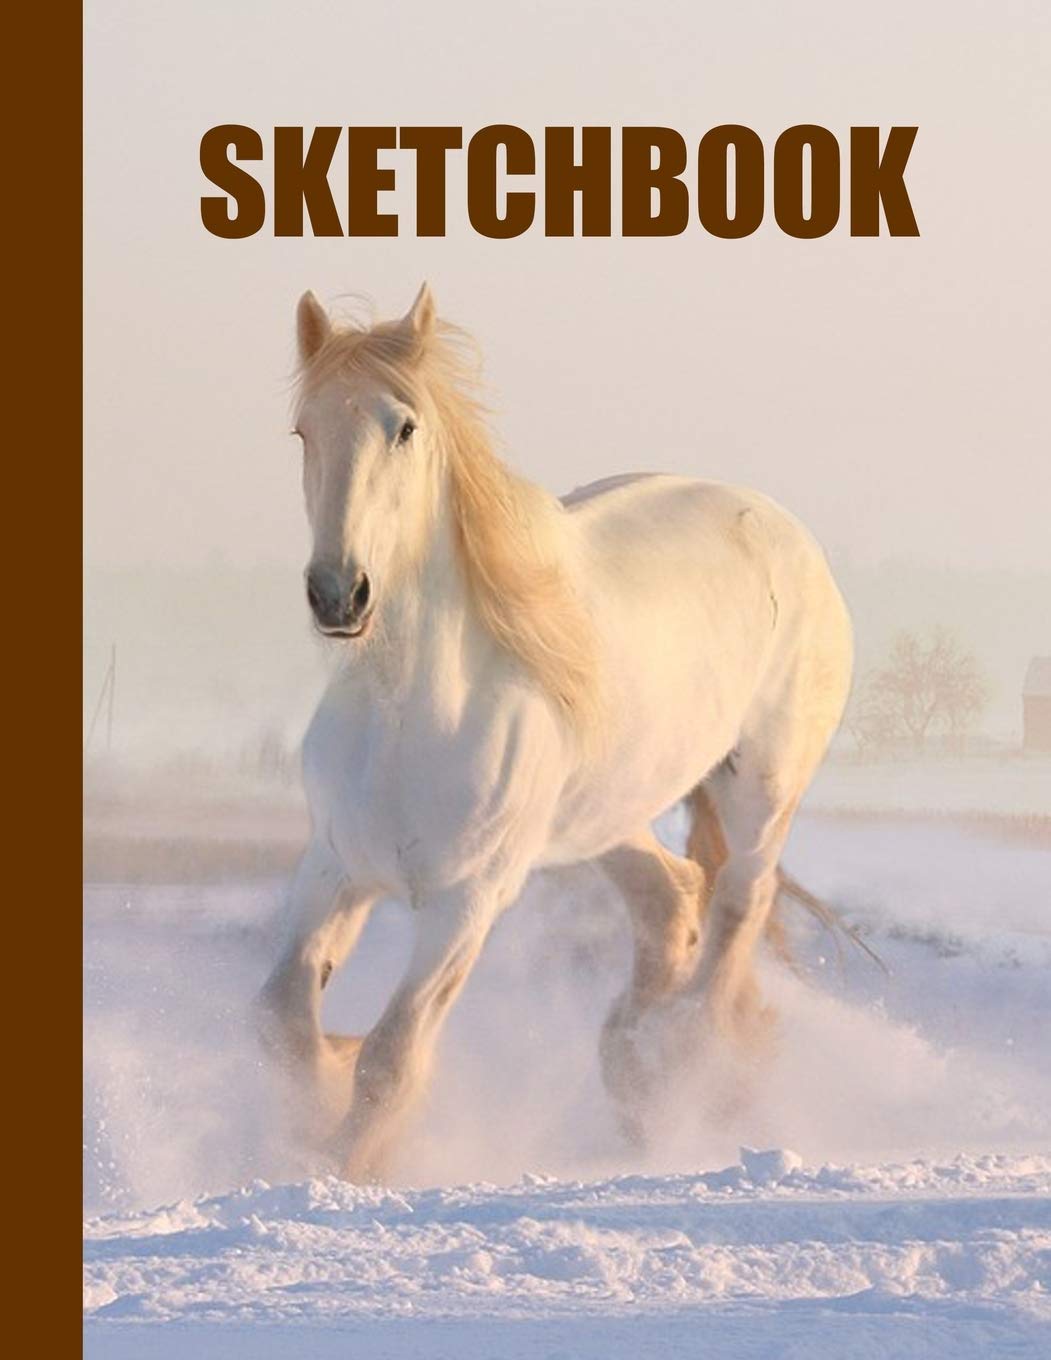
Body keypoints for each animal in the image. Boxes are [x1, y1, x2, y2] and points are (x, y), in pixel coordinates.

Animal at [256, 284, 854, 1181]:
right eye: (303, 430)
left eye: (404, 427)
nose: (338, 594)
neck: (409, 714)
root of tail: (785, 532)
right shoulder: (333, 868)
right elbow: (284, 1022)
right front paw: (316, 1104)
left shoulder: (466, 902)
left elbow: (391, 1059)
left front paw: (346, 1164)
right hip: (603, 816)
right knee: (671, 896)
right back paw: (634, 1069)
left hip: (761, 788)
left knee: (737, 907)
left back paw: (682, 1068)